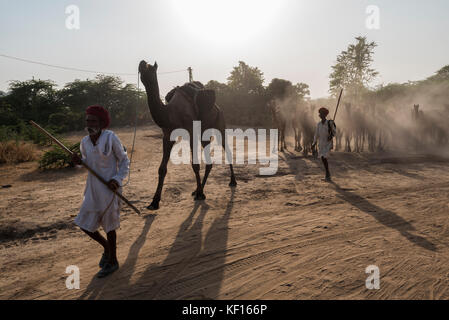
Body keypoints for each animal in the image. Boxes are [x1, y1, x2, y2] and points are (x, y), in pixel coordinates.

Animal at [139, 59, 238, 210]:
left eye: (150, 68)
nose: (142, 62)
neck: (171, 113)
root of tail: (218, 108)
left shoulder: (191, 132)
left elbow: (195, 165)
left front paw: (201, 195)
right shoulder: (167, 135)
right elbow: (162, 169)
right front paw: (154, 202)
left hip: (220, 124)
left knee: (226, 149)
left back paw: (231, 182)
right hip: (204, 134)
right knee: (209, 161)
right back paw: (197, 190)